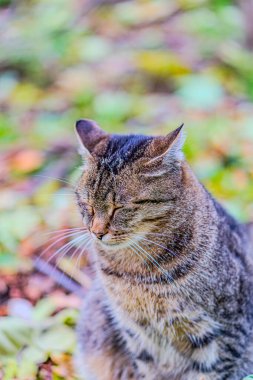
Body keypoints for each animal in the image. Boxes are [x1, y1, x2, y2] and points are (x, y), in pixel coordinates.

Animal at [73, 119, 253, 380]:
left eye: (119, 207)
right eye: (86, 205)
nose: (97, 232)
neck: (135, 273)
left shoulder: (225, 335)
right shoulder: (137, 334)